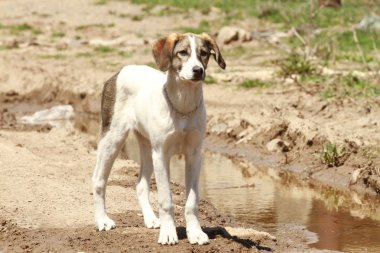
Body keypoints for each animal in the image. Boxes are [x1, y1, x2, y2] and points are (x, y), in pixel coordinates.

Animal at [92, 32, 226, 245]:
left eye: (204, 53)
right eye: (182, 52)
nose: (198, 70)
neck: (183, 106)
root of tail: (122, 69)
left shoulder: (194, 155)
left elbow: (192, 202)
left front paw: (195, 232)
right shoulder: (162, 155)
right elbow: (166, 201)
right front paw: (169, 233)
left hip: (147, 147)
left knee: (140, 184)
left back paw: (151, 219)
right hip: (113, 139)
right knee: (98, 180)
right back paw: (102, 220)